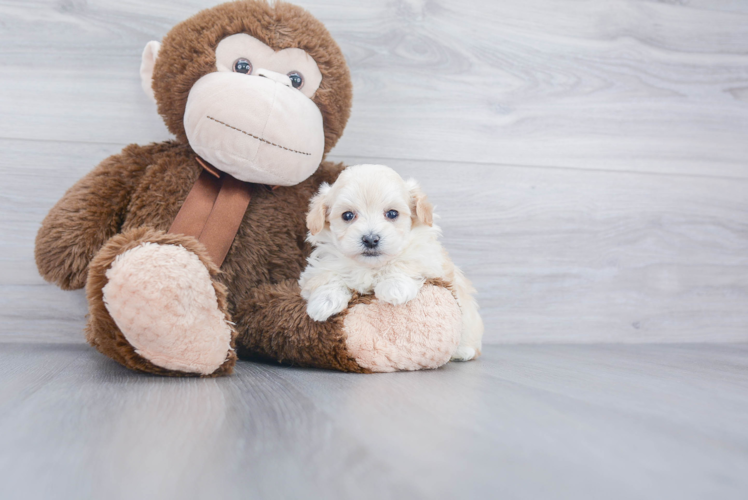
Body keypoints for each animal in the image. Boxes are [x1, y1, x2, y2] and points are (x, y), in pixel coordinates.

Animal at [300, 166, 486, 362]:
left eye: (392, 214)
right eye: (348, 215)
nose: (371, 239)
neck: (371, 267)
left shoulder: (428, 257)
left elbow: (404, 262)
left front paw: (394, 287)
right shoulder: (324, 263)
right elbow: (327, 276)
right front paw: (325, 301)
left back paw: (463, 352)